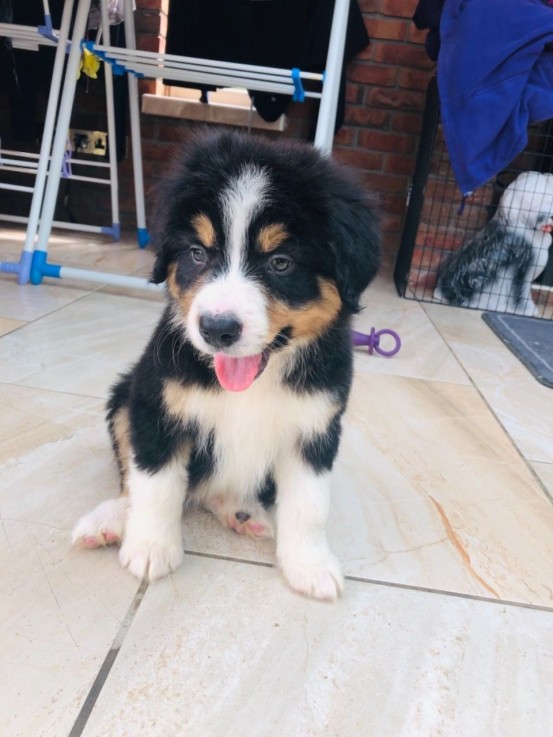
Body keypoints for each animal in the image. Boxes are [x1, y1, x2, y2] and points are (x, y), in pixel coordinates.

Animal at [71, 129, 378, 600]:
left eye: (280, 262)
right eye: (198, 253)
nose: (216, 328)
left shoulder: (316, 426)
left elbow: (309, 504)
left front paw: (310, 566)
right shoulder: (156, 406)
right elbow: (155, 482)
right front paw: (150, 548)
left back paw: (241, 512)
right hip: (123, 398)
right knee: (133, 478)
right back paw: (111, 519)